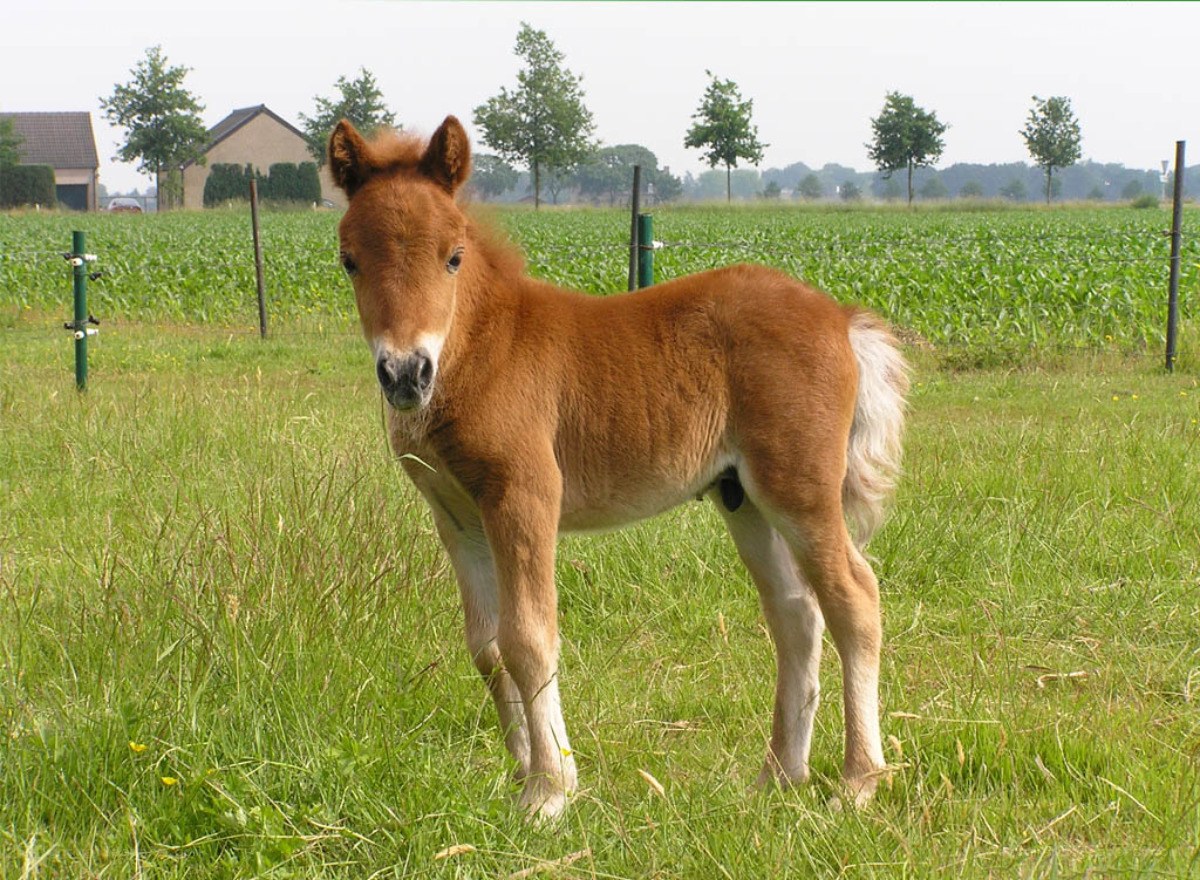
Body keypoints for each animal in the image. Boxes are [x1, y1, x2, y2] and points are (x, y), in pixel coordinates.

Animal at [327, 116, 908, 820]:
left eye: (453, 256)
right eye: (349, 260)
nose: (406, 373)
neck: (482, 349)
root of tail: (841, 318)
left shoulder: (524, 495)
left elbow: (529, 638)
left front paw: (550, 790)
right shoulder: (456, 516)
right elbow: (487, 647)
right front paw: (521, 770)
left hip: (798, 487)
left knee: (854, 597)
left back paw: (859, 780)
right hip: (742, 497)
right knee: (796, 613)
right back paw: (778, 775)